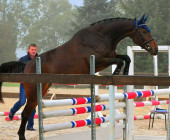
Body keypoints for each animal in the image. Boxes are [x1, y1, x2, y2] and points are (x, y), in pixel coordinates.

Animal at [0, 14, 157, 139]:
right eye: (144, 31)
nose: (154, 49)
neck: (101, 37)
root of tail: (27, 65)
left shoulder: (109, 57)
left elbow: (125, 58)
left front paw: (124, 72)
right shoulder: (99, 61)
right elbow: (119, 60)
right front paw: (117, 73)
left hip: (42, 89)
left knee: (30, 110)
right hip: (33, 91)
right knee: (25, 113)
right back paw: (21, 135)